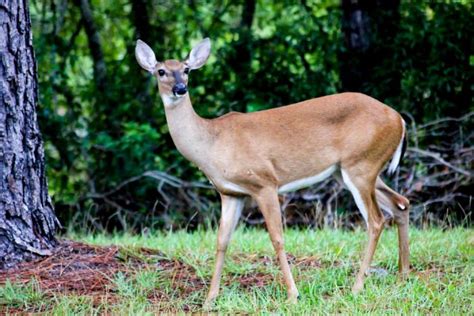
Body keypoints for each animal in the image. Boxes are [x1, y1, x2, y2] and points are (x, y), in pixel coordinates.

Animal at [135, 37, 410, 306]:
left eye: (186, 69)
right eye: (161, 71)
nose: (180, 88)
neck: (212, 143)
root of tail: (399, 119)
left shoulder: (264, 182)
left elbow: (277, 238)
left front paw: (293, 295)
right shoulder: (230, 193)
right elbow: (222, 241)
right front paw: (209, 300)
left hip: (361, 164)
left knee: (376, 220)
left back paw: (357, 287)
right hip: (351, 170)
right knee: (400, 203)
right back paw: (402, 276)